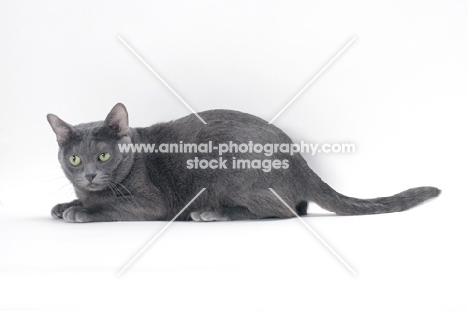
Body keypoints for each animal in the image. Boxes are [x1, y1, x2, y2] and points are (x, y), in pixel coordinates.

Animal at [45, 105, 440, 224]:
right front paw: (66, 204)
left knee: (283, 210)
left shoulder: (151, 202)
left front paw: (82, 211)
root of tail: (300, 160)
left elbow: (112, 205)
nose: (90, 175)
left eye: (104, 156)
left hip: (230, 169)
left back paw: (211, 213)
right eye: (75, 158)